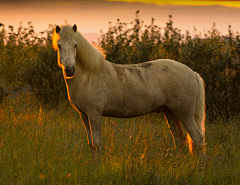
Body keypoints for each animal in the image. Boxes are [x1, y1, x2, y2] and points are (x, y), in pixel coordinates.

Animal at [52, 24, 206, 160]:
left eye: (75, 45)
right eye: (59, 45)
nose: (70, 70)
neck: (89, 75)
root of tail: (193, 73)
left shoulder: (94, 114)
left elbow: (97, 144)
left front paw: (97, 168)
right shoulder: (84, 115)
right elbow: (91, 144)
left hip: (184, 114)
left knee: (198, 139)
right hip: (170, 112)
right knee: (179, 139)